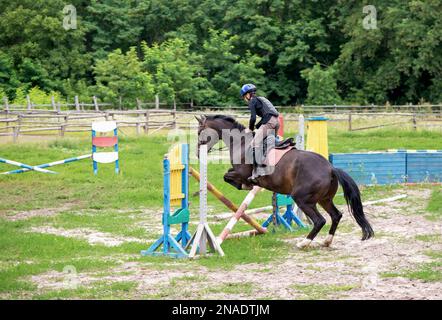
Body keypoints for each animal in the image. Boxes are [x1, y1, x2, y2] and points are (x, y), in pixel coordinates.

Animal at [196, 114, 372, 249]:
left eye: (199, 132)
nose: (198, 154)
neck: (240, 143)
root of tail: (330, 168)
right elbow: (228, 176)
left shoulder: (241, 172)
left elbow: (227, 176)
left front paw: (245, 184)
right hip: (324, 199)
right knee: (336, 215)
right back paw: (326, 241)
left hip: (302, 198)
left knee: (319, 220)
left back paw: (304, 243)